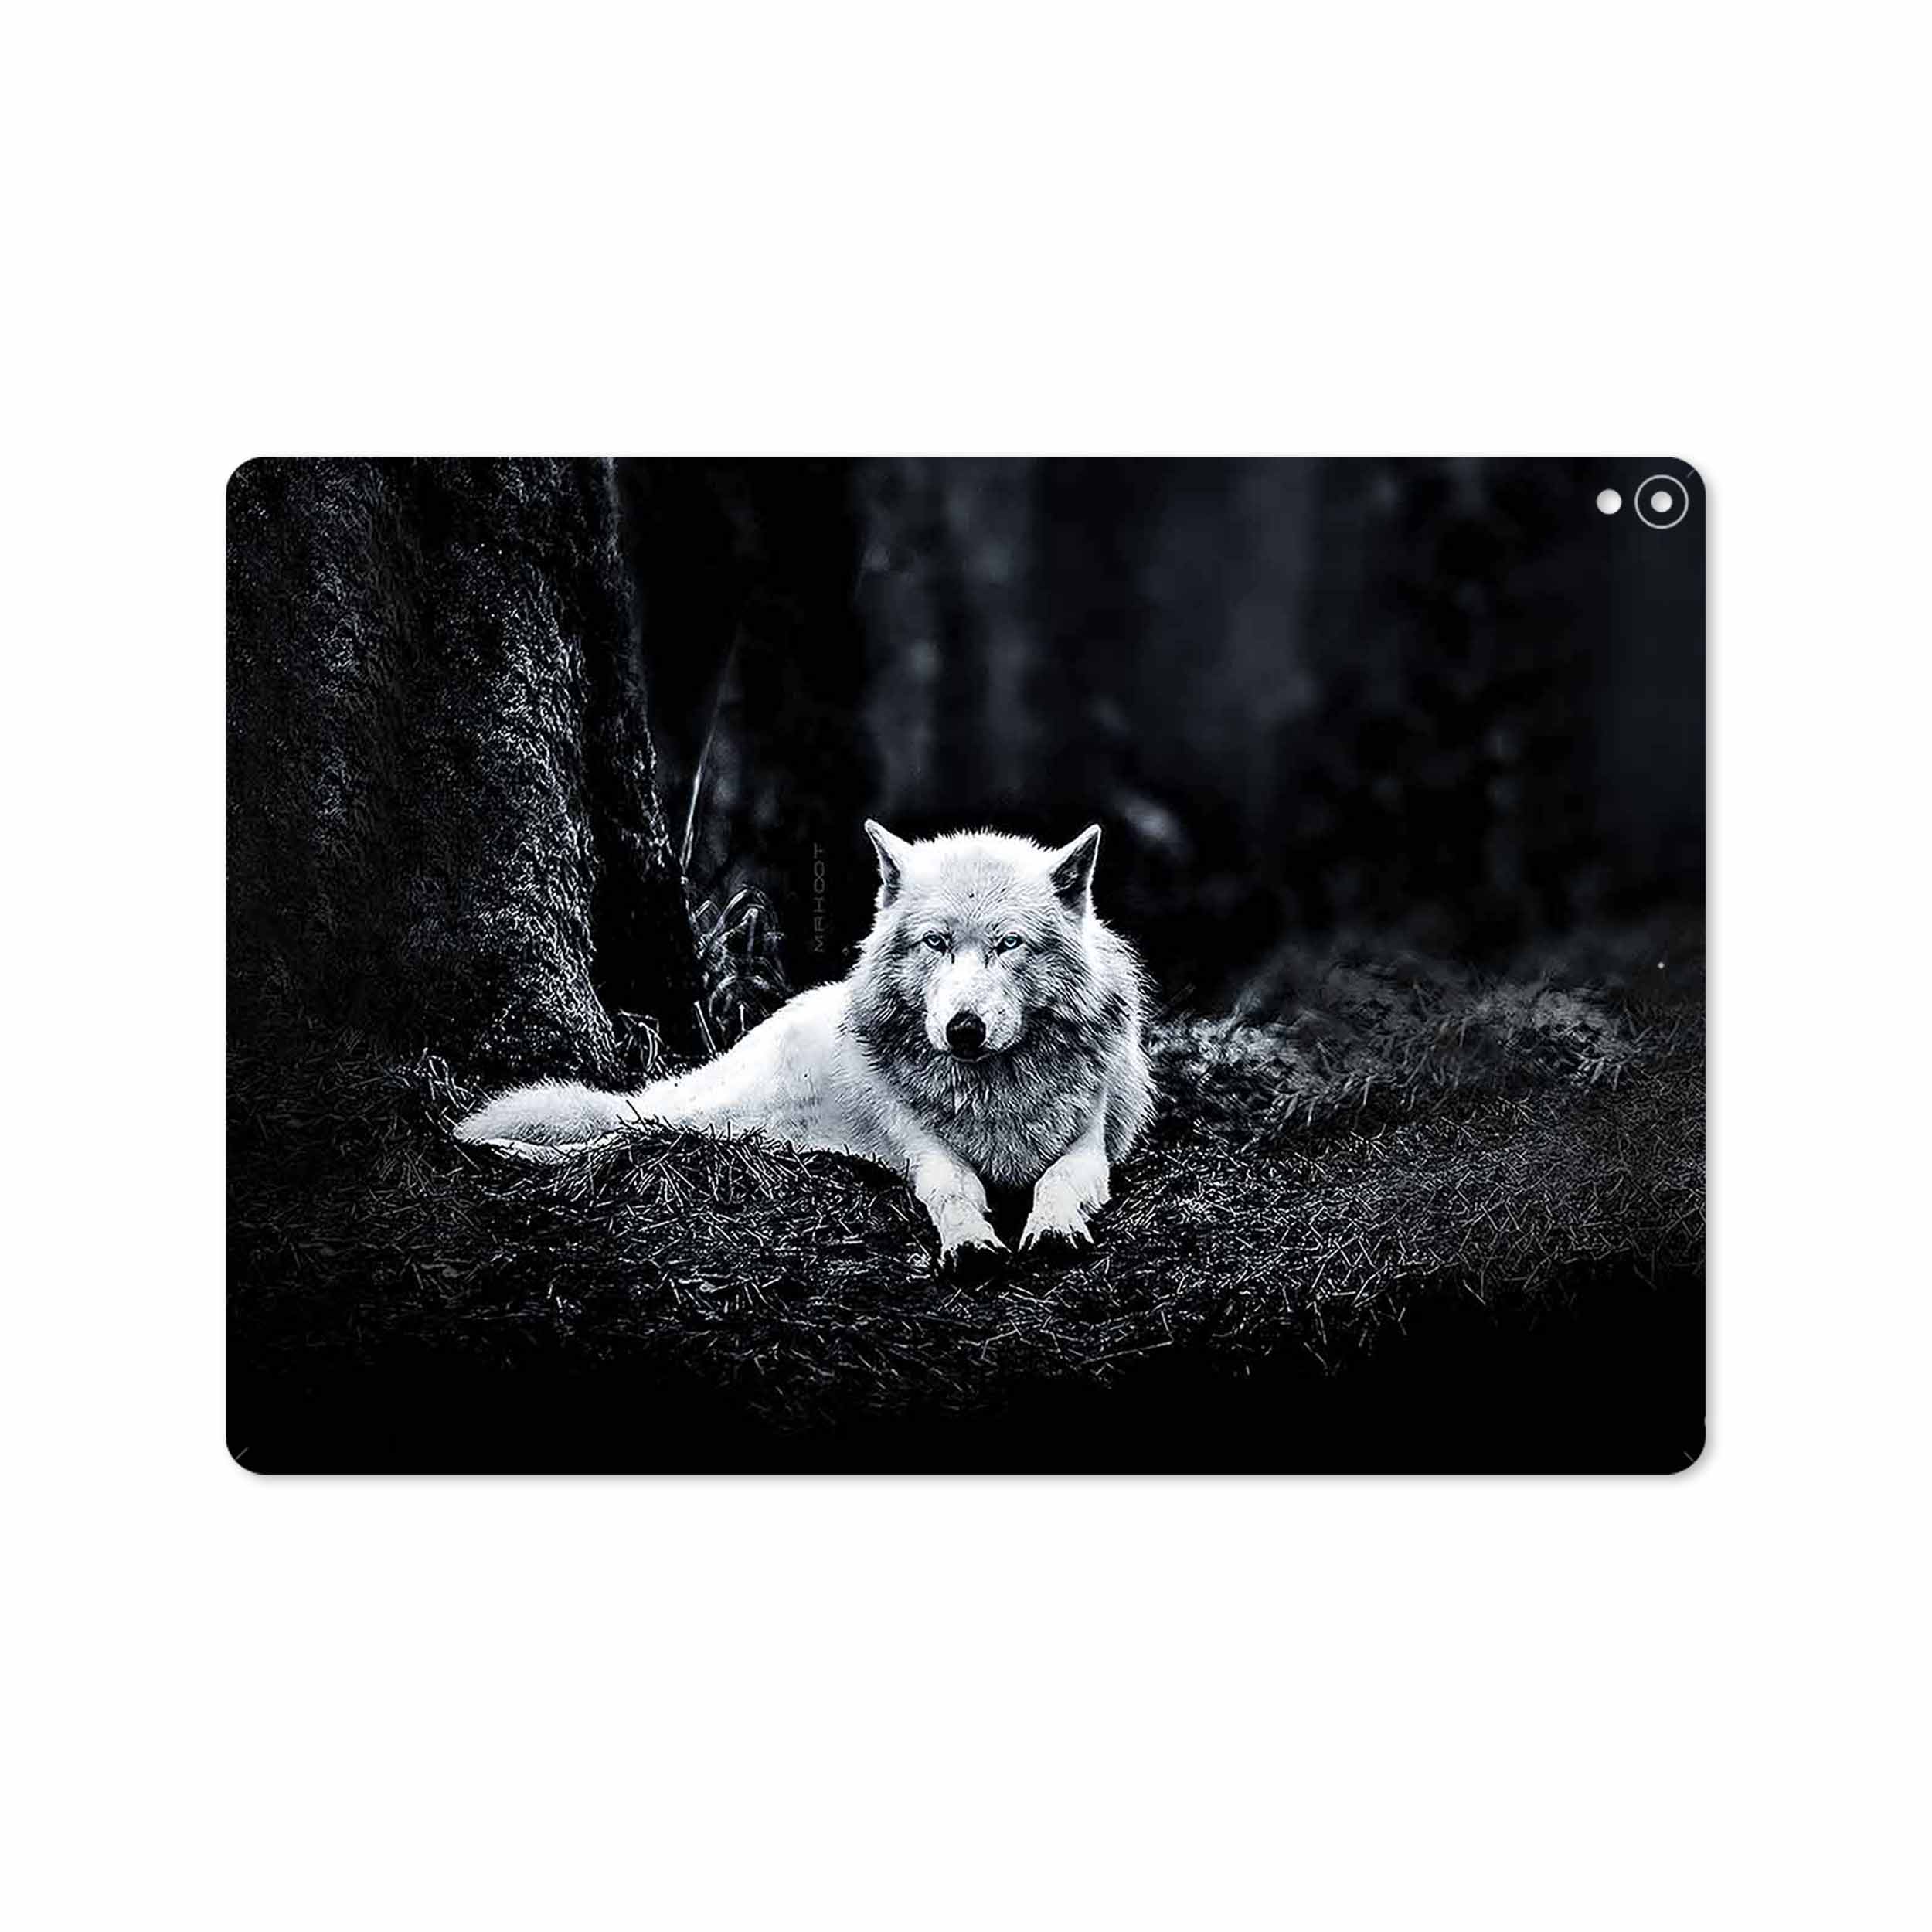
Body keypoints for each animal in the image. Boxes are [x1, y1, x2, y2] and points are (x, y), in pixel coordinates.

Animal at [455, 822, 1155, 1268]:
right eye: (936, 943)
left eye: (1009, 944)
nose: (964, 1029)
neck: (993, 1093)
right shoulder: (926, 1153)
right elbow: (954, 1191)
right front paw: (969, 1244)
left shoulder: (1090, 1150)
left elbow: (1056, 1182)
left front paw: (1054, 1228)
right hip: (716, 1115)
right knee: (622, 1132)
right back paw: (503, 1148)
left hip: (752, 1135)